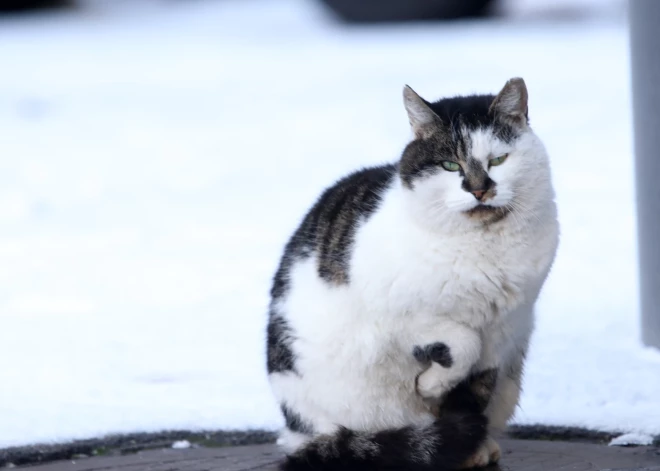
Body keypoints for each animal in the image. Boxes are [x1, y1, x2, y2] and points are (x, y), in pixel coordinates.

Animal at [266, 78, 560, 471]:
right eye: (450, 165)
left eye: (498, 159)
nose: (480, 188)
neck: (484, 248)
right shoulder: (398, 320)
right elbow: (463, 343)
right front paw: (431, 389)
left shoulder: (505, 329)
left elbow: (475, 390)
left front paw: (465, 440)